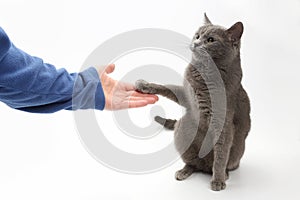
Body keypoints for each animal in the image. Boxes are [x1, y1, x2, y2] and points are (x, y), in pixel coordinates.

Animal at [136, 14, 251, 191]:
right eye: (197, 35)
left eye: (210, 40)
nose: (195, 43)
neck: (204, 75)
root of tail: (204, 167)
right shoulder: (186, 95)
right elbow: (168, 87)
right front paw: (144, 85)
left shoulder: (222, 120)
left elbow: (221, 153)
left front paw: (218, 181)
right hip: (183, 126)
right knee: (193, 163)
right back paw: (183, 171)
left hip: (236, 154)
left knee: (222, 162)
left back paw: (222, 175)